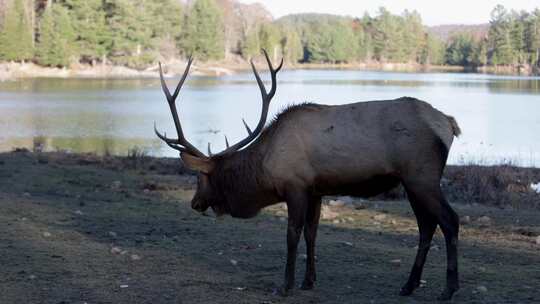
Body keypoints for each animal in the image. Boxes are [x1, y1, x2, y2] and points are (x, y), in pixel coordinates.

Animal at [154, 51, 462, 300]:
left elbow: (292, 235)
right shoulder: (316, 190)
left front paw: (285, 285)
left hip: (422, 176)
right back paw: (408, 286)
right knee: (426, 226)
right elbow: (311, 234)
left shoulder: (295, 187)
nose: (194, 203)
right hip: (411, 182)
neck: (264, 169)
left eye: (200, 178)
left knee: (449, 220)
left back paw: (448, 289)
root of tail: (449, 123)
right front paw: (308, 281)